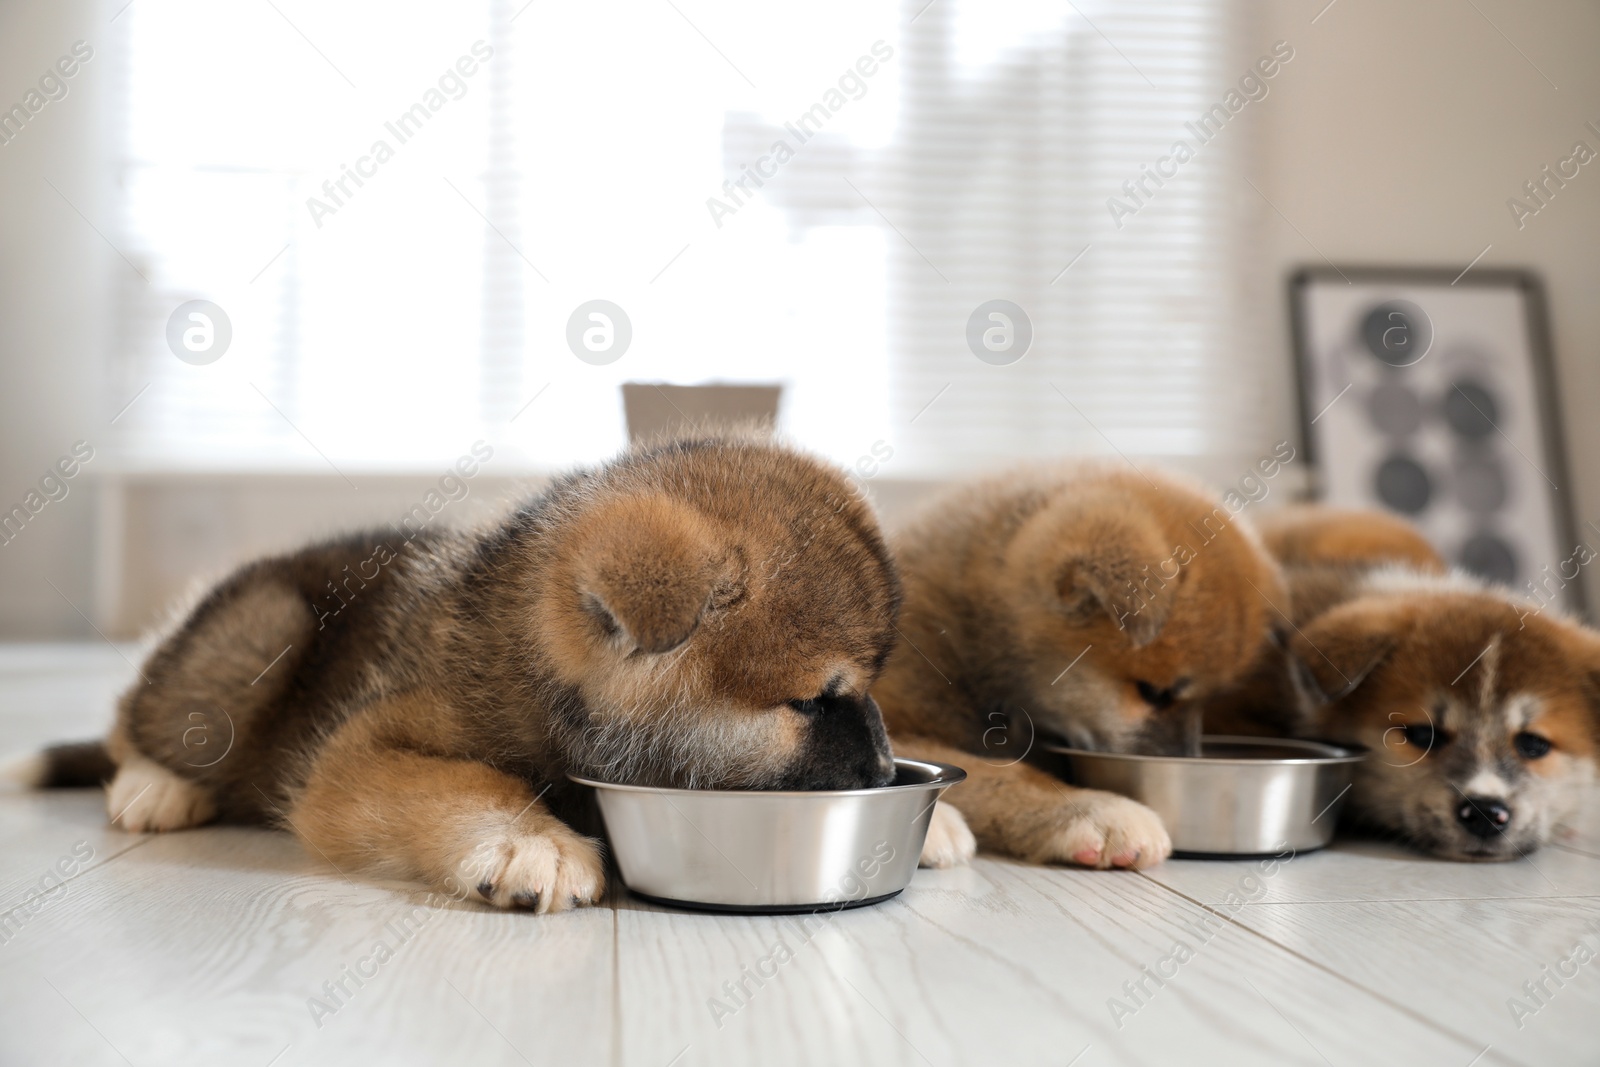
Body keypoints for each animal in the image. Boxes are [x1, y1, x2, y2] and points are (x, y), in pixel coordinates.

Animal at [12, 438, 908, 915]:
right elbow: (461, 781)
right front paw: (528, 839)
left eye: (871, 685)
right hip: (257, 631)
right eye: (810, 701)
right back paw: (155, 785)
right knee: (135, 716)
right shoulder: (359, 753)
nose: (884, 768)